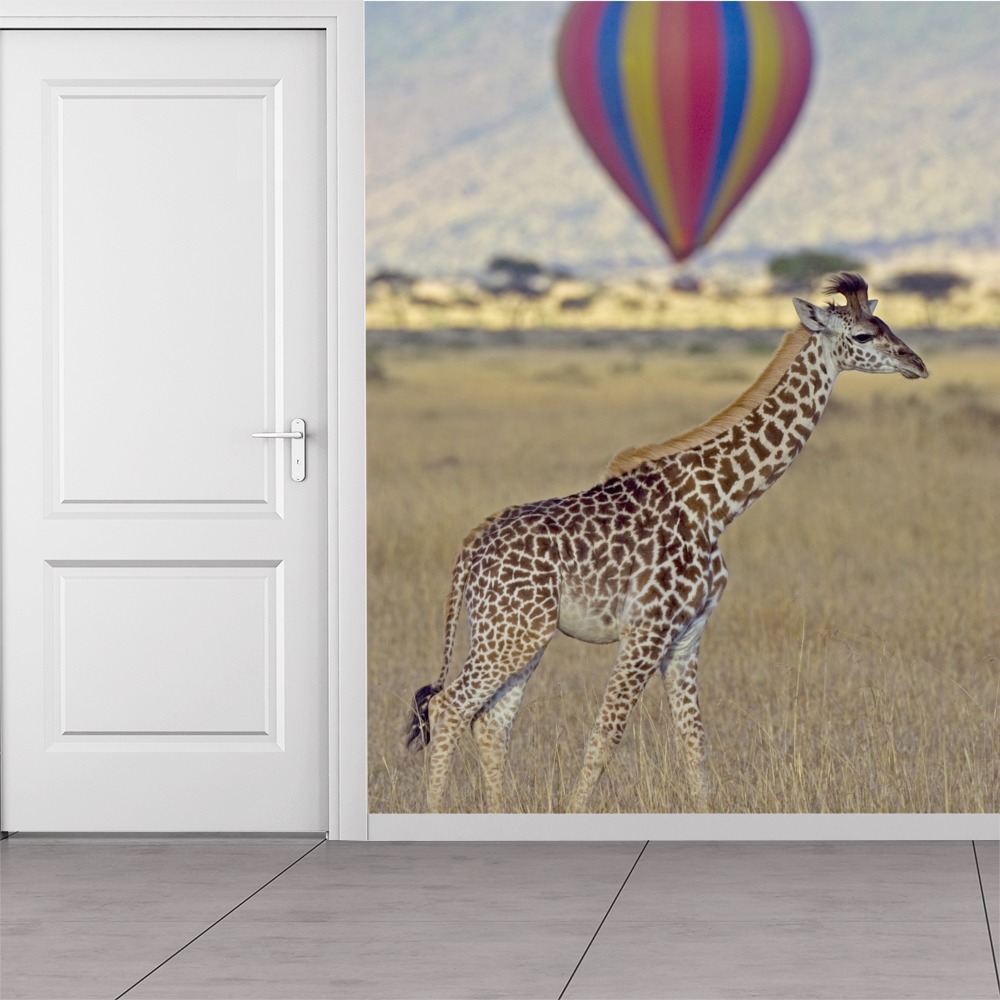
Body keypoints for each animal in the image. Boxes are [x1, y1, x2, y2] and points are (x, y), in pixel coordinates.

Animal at [406, 273, 928, 813]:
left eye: (885, 323)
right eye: (863, 335)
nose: (917, 364)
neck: (717, 506)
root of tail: (470, 551)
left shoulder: (687, 635)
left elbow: (694, 741)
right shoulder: (647, 630)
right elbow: (605, 737)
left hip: (520, 634)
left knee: (490, 721)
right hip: (511, 633)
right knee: (448, 706)